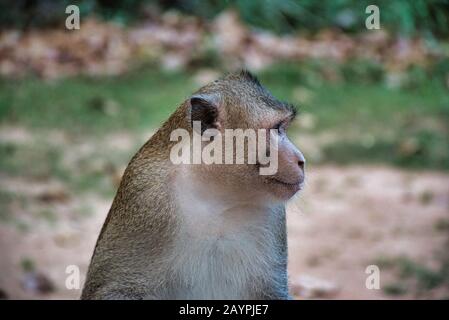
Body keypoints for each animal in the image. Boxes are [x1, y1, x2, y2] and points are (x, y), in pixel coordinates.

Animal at [80, 70, 304, 300]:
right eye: (276, 128)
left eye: (282, 128)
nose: (301, 160)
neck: (216, 196)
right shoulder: (145, 198)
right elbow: (116, 288)